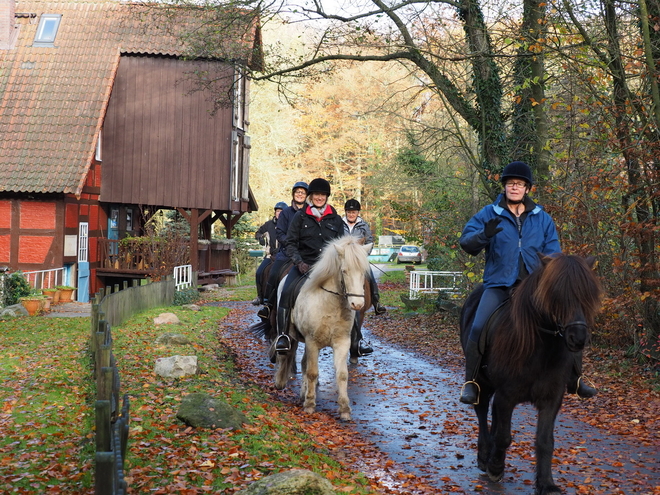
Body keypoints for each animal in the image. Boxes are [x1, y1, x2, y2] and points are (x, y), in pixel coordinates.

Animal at [272, 234, 372, 420]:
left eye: (363, 272)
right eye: (344, 271)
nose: (357, 304)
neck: (330, 303)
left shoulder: (342, 342)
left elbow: (342, 374)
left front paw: (344, 409)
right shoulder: (312, 342)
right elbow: (312, 372)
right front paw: (310, 405)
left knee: (303, 363)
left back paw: (303, 393)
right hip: (291, 333)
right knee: (287, 354)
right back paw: (280, 382)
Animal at [458, 254, 604, 494]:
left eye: (588, 293)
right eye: (556, 293)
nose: (578, 338)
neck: (541, 348)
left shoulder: (551, 399)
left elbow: (545, 441)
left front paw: (546, 484)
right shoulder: (507, 396)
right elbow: (504, 437)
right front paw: (495, 467)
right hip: (482, 382)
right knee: (481, 410)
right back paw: (484, 455)